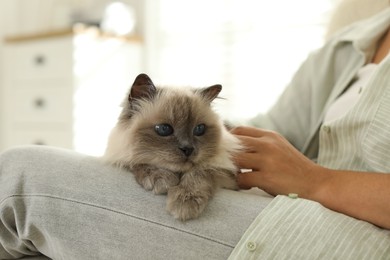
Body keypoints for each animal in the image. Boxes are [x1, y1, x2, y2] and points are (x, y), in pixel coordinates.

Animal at [105, 73, 242, 221]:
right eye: (164, 129)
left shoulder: (225, 175)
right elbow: (138, 163)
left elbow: (200, 172)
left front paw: (185, 202)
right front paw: (161, 178)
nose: (188, 149)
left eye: (199, 129)